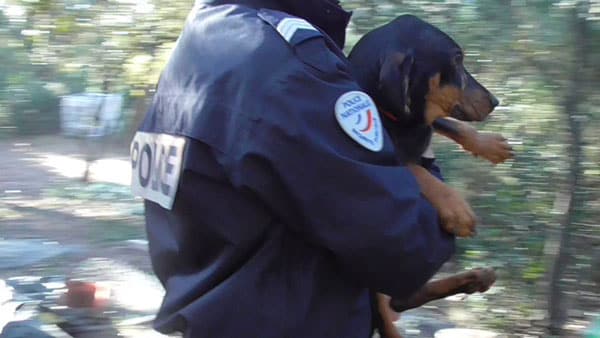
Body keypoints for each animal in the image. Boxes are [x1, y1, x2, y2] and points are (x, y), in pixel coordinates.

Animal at [346, 15, 510, 338]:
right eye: (456, 60)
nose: (495, 100)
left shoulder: (423, 121)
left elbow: (450, 125)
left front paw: (490, 146)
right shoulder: (389, 151)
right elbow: (417, 169)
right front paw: (457, 211)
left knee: (400, 300)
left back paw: (477, 277)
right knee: (395, 304)